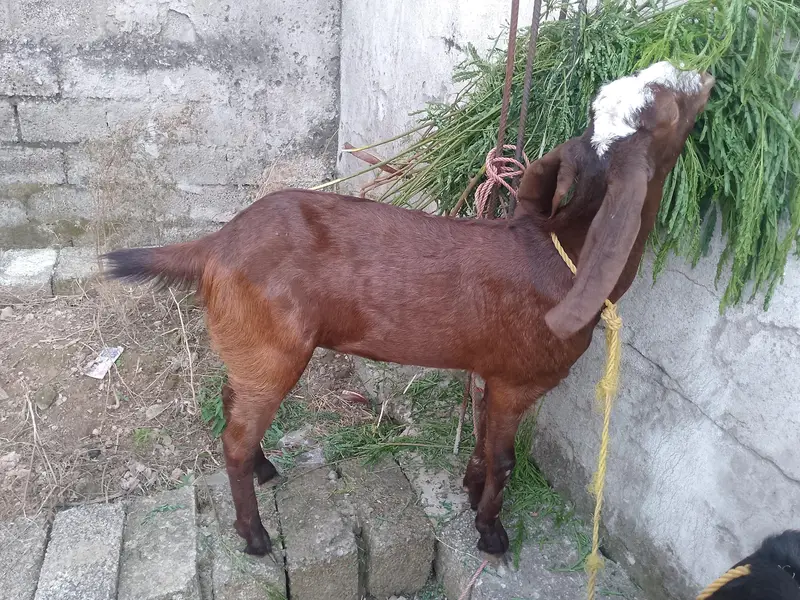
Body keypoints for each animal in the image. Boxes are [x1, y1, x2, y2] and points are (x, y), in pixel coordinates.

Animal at [103, 61, 715, 558]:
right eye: (671, 107)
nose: (706, 75)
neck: (560, 255)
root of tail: (216, 245)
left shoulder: (488, 370)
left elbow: (482, 439)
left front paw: (469, 491)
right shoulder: (520, 378)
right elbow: (505, 459)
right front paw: (491, 533)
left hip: (248, 346)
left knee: (233, 405)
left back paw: (264, 468)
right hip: (273, 349)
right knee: (233, 437)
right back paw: (254, 537)